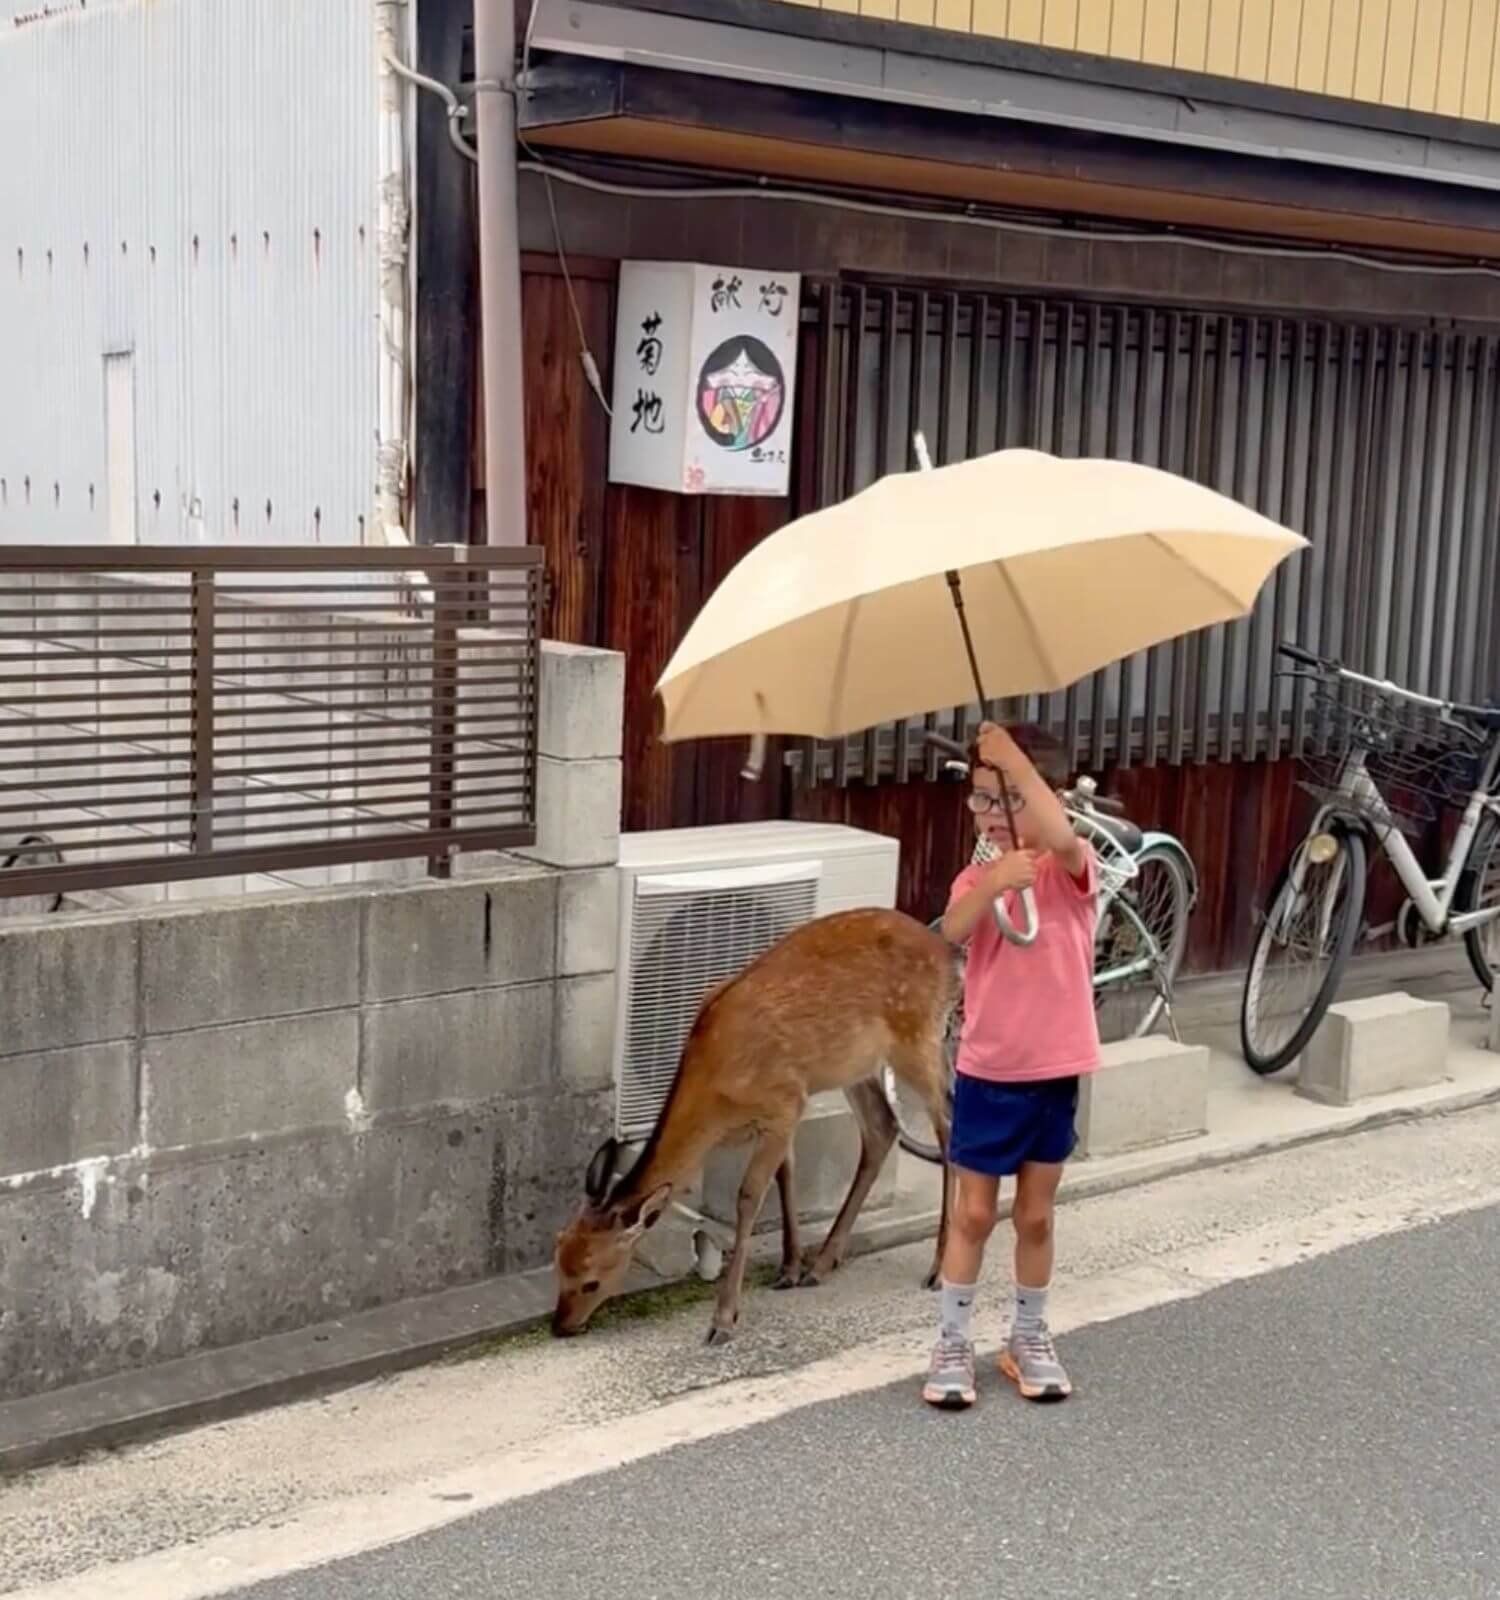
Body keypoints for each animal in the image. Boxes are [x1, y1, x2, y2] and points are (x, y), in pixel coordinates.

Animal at [552, 906, 957, 1345]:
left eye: (591, 1280)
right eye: (558, 1262)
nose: (560, 1325)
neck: (718, 1096)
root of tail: (946, 952)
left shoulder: (784, 1101)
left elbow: (748, 1198)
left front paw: (724, 1319)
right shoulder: (785, 1111)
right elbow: (786, 1175)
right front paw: (790, 1268)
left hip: (917, 1037)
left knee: (949, 1127)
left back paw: (939, 1268)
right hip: (856, 1064)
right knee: (883, 1126)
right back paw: (824, 1262)